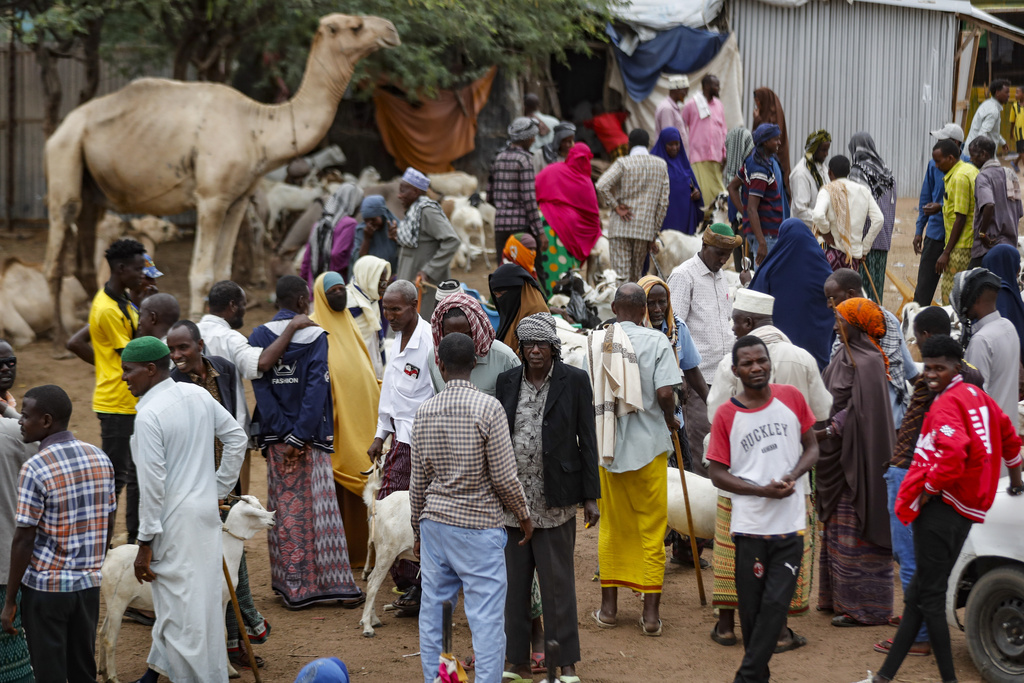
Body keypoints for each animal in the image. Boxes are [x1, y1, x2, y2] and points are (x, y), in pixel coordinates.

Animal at [43, 14, 399, 348]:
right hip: (64, 157)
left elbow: (224, 271)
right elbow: (201, 274)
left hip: (92, 186)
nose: (391, 30)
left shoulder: (238, 199)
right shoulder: (211, 198)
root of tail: (60, 130)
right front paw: (193, 329)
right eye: (354, 26)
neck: (257, 129)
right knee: (57, 243)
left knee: (87, 230)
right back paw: (59, 335)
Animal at [96, 497, 276, 683]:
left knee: (101, 633)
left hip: (113, 602)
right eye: (255, 510)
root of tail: (110, 555)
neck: (225, 554)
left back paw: (103, 671)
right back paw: (113, 677)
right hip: (118, 602)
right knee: (110, 639)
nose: (273, 519)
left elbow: (224, 634)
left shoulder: (223, 601)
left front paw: (230, 670)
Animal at [360, 462, 415, 638]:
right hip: (386, 553)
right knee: (372, 584)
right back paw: (367, 627)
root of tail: (381, 504)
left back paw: (374, 620)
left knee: (371, 580)